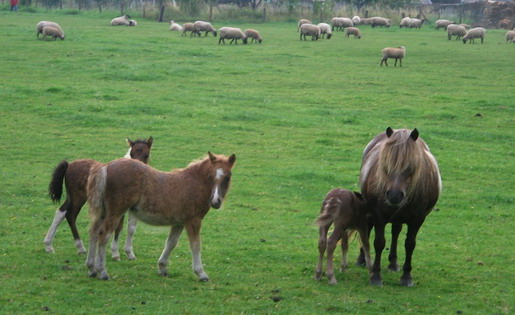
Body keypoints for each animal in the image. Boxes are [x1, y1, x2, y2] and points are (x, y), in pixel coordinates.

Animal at [86, 152, 236, 282]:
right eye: (210, 176)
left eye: (228, 176)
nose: (215, 202)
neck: (194, 183)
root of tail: (105, 167)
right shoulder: (193, 220)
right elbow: (195, 245)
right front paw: (201, 273)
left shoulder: (179, 222)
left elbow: (171, 242)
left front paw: (162, 268)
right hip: (116, 212)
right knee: (103, 235)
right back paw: (102, 272)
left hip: (102, 212)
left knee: (93, 233)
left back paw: (91, 269)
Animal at [360, 127, 442, 288]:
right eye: (386, 164)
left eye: (411, 167)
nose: (394, 195)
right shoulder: (378, 215)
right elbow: (379, 243)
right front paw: (376, 276)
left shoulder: (418, 219)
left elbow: (410, 244)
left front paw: (406, 277)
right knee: (367, 228)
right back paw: (362, 259)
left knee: (396, 232)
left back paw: (393, 263)